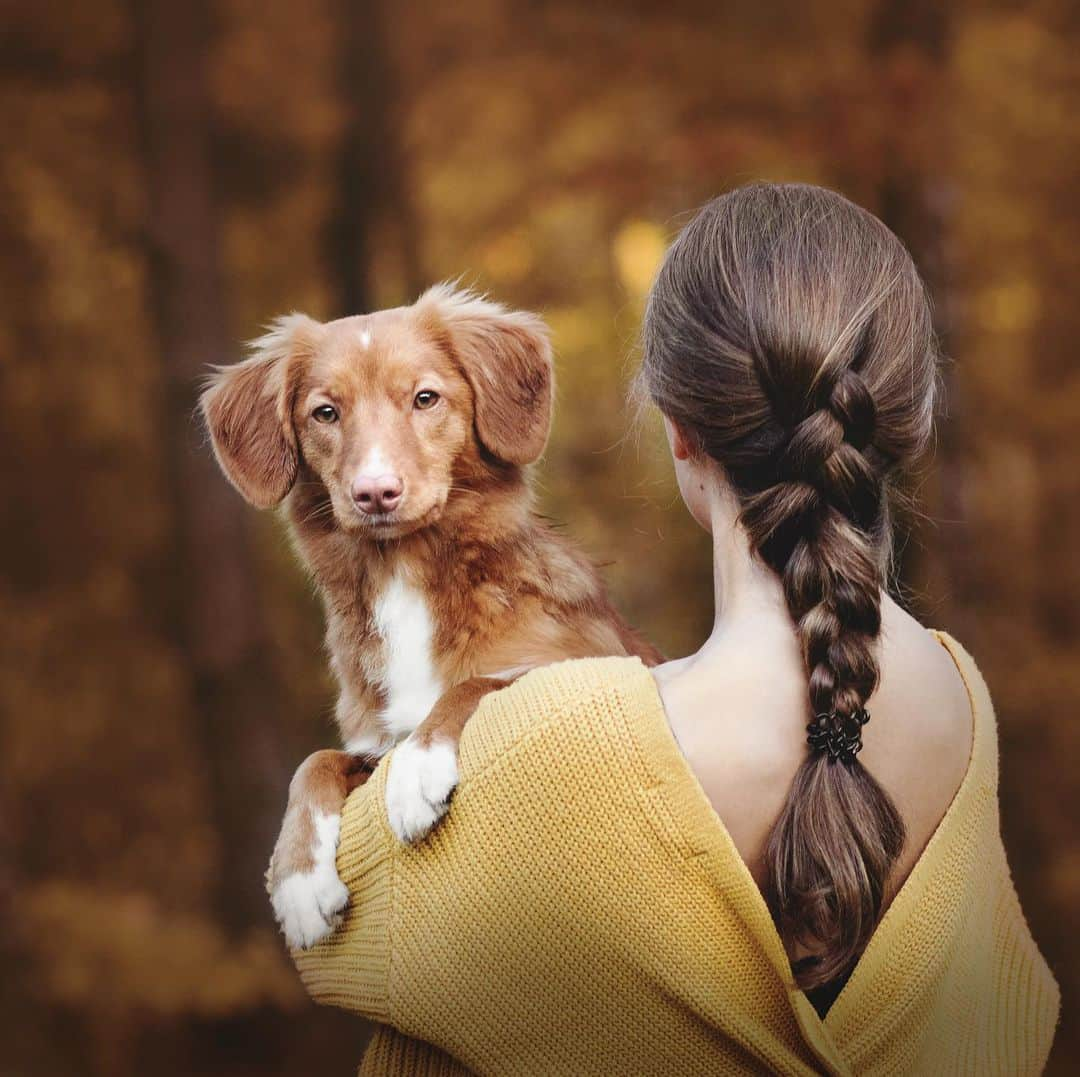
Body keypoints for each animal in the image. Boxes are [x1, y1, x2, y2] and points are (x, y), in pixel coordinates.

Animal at [198, 285, 660, 950]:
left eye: (425, 398)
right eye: (325, 413)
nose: (375, 493)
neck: (405, 573)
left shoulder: (582, 664)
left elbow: (476, 682)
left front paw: (416, 770)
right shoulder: (371, 739)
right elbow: (313, 763)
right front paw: (300, 878)